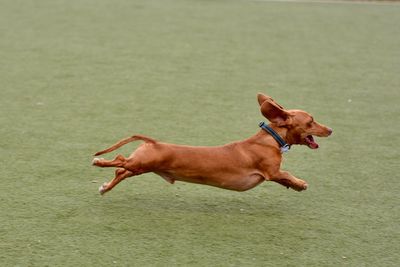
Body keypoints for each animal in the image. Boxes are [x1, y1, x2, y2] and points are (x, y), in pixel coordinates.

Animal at [93, 93, 332, 195]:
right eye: (311, 121)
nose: (330, 130)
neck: (269, 139)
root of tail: (154, 142)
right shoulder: (271, 171)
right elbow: (287, 173)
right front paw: (300, 183)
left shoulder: (273, 174)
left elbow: (285, 179)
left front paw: (296, 185)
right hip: (140, 164)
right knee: (119, 161)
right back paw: (99, 162)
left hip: (140, 166)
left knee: (121, 171)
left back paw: (105, 187)